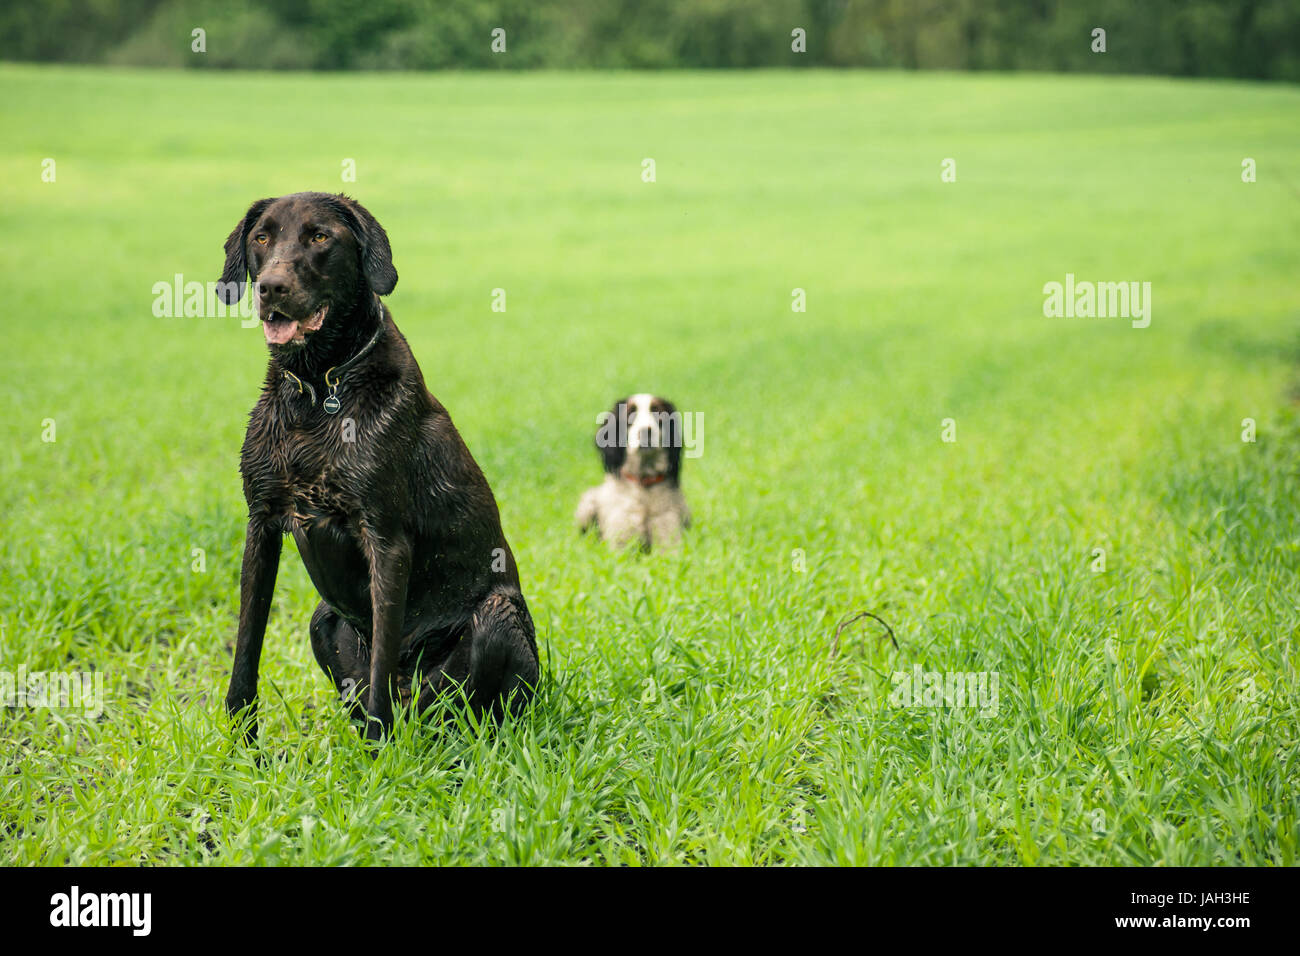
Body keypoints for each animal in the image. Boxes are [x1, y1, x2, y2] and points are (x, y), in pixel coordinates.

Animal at [217, 195, 538, 743]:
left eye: (320, 237)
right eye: (261, 238)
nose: (271, 287)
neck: (317, 388)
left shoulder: (385, 539)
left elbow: (382, 664)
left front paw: (377, 750)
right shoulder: (261, 523)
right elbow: (246, 648)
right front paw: (242, 748)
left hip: (497, 619)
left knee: (466, 710)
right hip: (322, 616)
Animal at [579, 392, 691, 548]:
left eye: (658, 413)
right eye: (630, 414)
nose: (645, 431)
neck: (643, 482)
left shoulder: (668, 531)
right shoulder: (620, 539)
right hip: (588, 502)